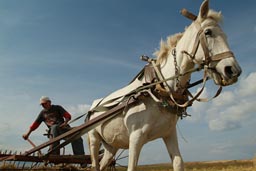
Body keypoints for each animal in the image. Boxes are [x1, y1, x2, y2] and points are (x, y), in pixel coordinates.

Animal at [87, 0, 241, 170]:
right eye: (208, 32)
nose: (234, 70)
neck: (159, 88)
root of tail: (94, 105)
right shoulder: (135, 138)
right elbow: (132, 166)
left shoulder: (169, 134)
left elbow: (178, 162)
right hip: (94, 140)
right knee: (94, 163)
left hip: (111, 146)